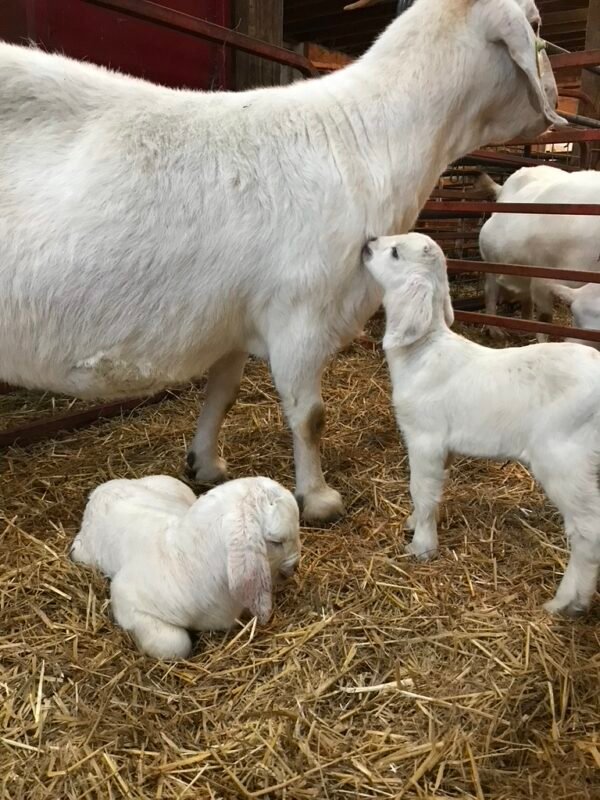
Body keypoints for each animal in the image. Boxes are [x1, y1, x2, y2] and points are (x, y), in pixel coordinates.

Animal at [0, 0, 564, 522]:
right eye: (536, 24)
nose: (559, 102)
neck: (368, 137)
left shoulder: (234, 316)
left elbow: (223, 394)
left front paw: (204, 463)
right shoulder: (301, 311)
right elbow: (310, 415)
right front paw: (317, 498)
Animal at [70, 476, 301, 659]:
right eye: (276, 542)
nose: (295, 568)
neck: (187, 560)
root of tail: (101, 490)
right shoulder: (126, 597)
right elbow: (175, 645)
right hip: (80, 553)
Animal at [363, 232, 600, 614]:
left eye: (395, 252)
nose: (368, 241)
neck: (423, 353)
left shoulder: (425, 437)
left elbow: (421, 489)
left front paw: (421, 547)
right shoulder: (443, 447)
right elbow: (432, 490)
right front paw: (414, 523)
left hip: (565, 458)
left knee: (588, 530)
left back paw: (566, 602)